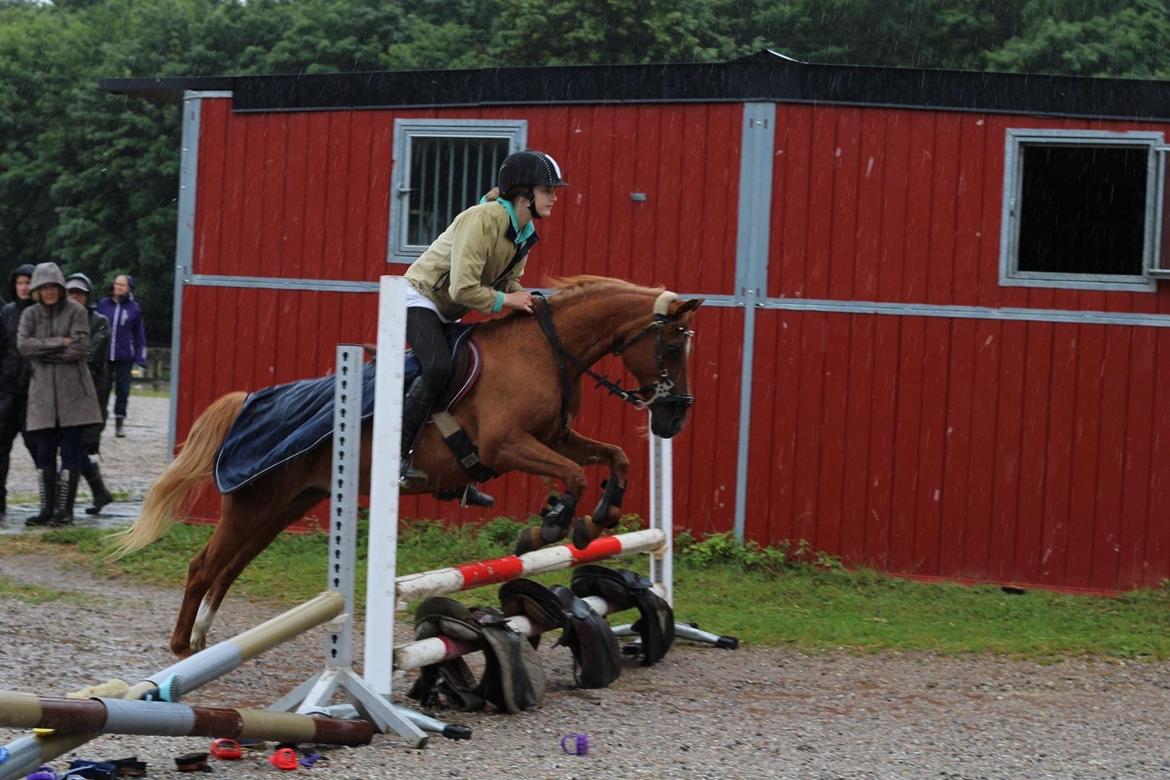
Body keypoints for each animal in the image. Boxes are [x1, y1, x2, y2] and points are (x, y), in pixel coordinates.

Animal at [109, 277, 697, 654]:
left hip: (280, 508)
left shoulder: (555, 437)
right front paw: (552, 526)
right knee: (203, 567)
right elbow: (571, 476)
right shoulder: (506, 445)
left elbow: (615, 457)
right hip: (251, 507)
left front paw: (599, 518)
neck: (544, 350)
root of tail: (246, 403)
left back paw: (203, 639)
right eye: (671, 348)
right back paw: (183, 648)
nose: (672, 420)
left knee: (227, 568)